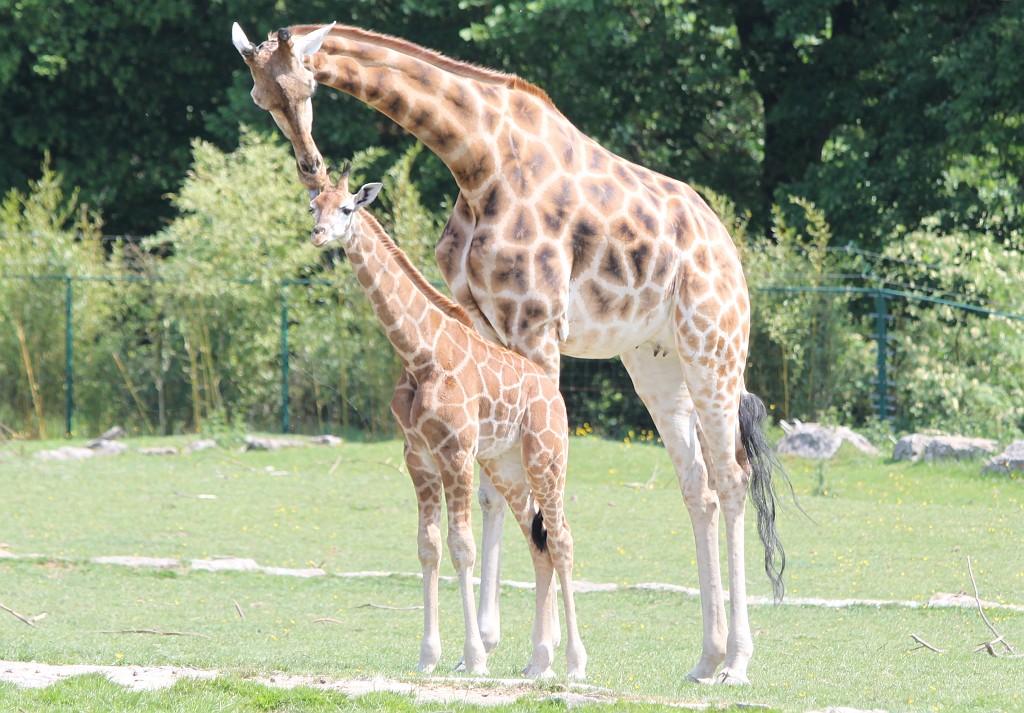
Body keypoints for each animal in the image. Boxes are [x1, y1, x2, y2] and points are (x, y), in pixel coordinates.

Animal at [306, 166, 586, 679]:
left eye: (347, 208)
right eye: (313, 206)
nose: (318, 234)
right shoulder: (417, 455)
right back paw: (539, 661)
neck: (418, 354)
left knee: (561, 539)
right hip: (508, 465)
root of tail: (555, 395)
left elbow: (462, 547)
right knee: (537, 543)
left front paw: (474, 658)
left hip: (547, 456)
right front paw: (428, 656)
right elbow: (428, 546)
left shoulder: (455, 452)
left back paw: (575, 661)